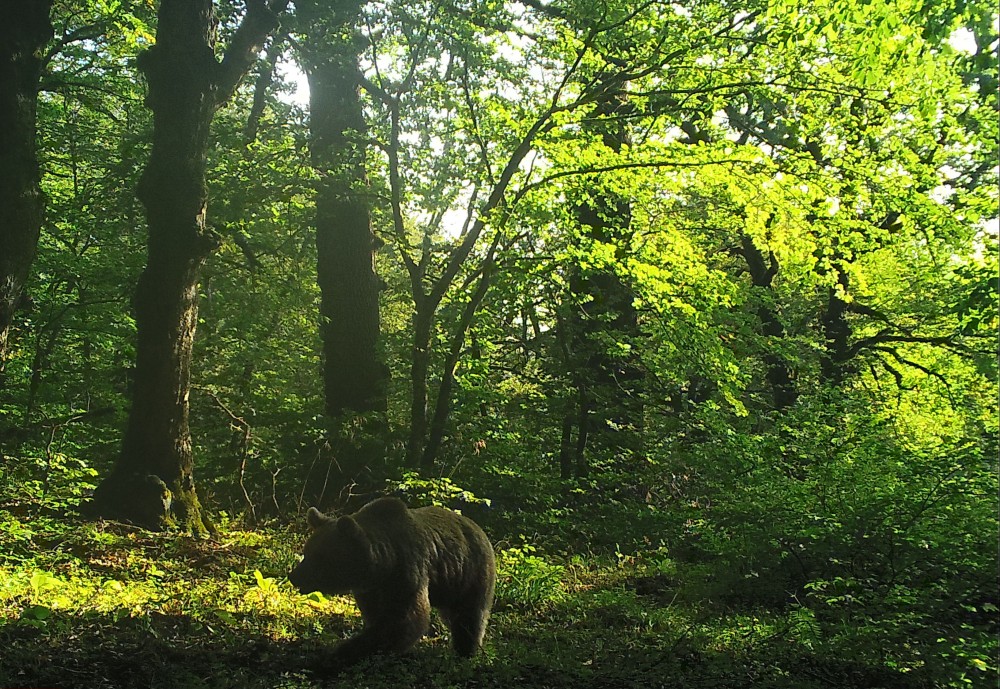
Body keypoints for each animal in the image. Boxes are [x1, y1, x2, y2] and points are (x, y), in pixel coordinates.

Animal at [288, 498, 494, 664]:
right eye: (307, 552)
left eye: (319, 557)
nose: (294, 576)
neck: (382, 567)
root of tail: (478, 528)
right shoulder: (370, 590)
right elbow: (377, 616)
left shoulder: (407, 571)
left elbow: (403, 620)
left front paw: (344, 652)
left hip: (470, 573)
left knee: (469, 616)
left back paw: (465, 652)